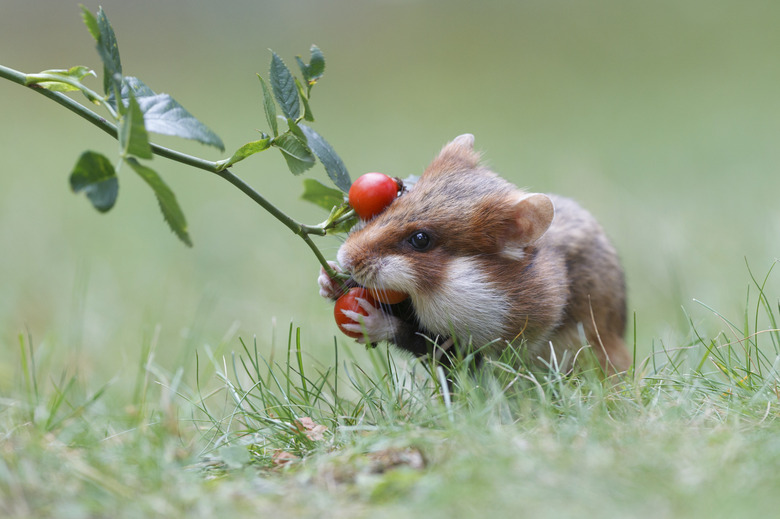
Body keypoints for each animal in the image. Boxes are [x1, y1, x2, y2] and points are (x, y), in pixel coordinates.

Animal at [320, 132, 632, 372]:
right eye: (392, 202)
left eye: (420, 240)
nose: (345, 257)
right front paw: (328, 279)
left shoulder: (481, 344)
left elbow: (417, 338)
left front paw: (366, 320)